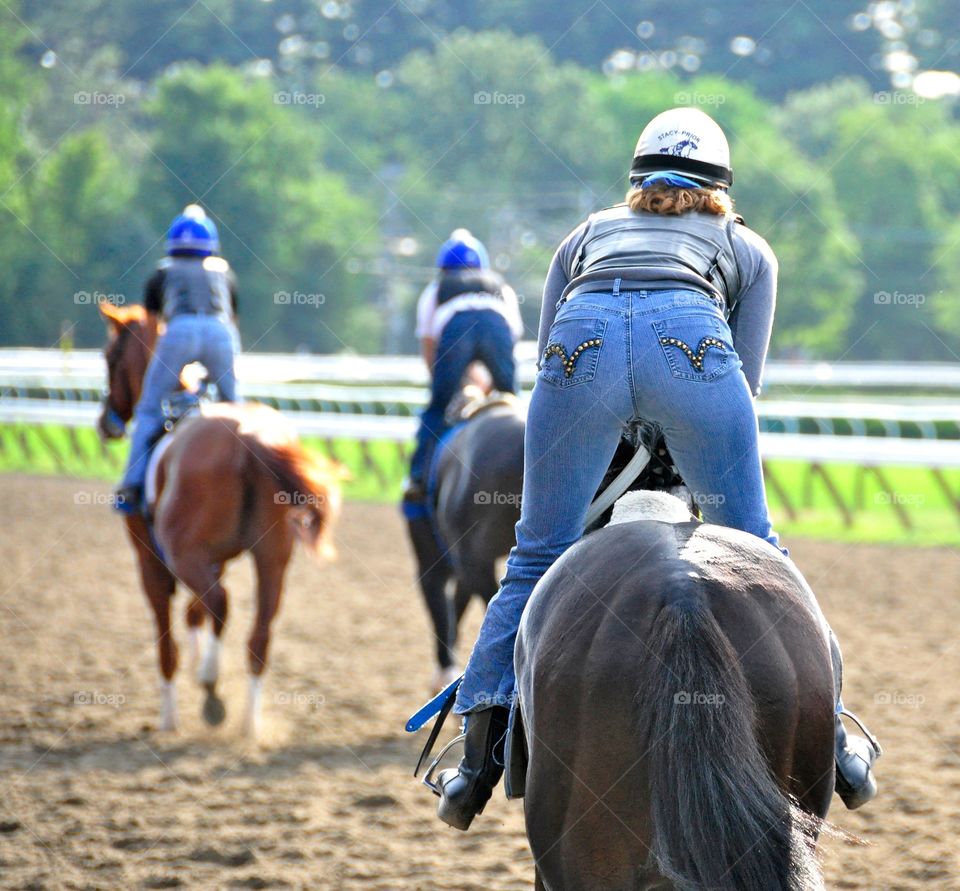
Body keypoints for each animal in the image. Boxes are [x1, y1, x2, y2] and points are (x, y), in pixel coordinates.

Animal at [98, 304, 342, 736]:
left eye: (110, 357)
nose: (105, 423)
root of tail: (249, 436)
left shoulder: (151, 563)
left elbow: (168, 640)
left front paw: (169, 717)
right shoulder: (218, 559)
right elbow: (195, 613)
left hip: (184, 554)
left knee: (221, 603)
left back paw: (212, 689)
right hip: (272, 558)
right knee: (259, 634)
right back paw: (250, 724)